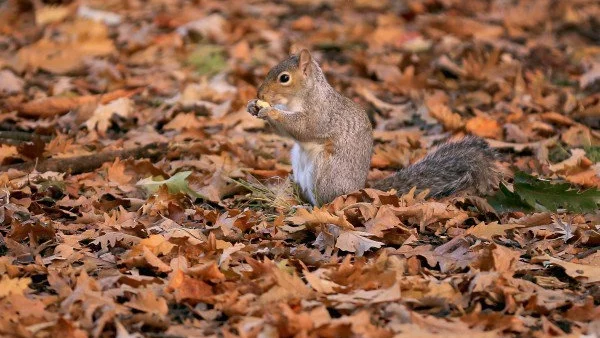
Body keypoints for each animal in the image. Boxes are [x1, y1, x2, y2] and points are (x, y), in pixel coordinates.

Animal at [246, 48, 500, 205]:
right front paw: (253, 107)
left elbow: (303, 128)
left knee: (327, 202)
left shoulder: (320, 115)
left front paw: (270, 111)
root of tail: (356, 191)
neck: (302, 97)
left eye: (284, 78)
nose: (260, 94)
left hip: (325, 173)